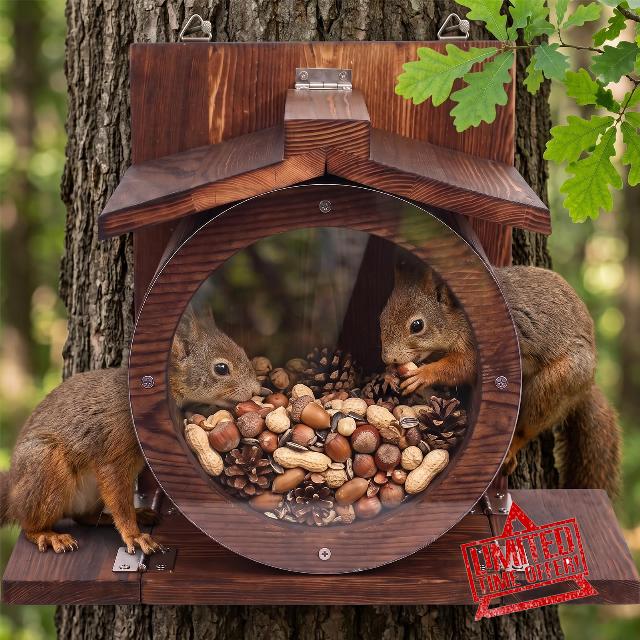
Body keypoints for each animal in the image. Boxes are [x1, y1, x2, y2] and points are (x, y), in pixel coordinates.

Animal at [0, 310, 260, 553]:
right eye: (221, 368)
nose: (256, 389)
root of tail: (12, 489)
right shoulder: (114, 449)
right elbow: (118, 495)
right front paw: (134, 536)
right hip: (45, 467)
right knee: (29, 524)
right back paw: (48, 535)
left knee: (83, 517)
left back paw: (133, 514)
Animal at [380, 260, 621, 498]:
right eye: (381, 316)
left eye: (417, 325)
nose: (388, 358)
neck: (456, 317)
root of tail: (587, 387)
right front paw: (389, 375)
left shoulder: (477, 346)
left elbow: (462, 367)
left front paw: (423, 375)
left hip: (555, 384)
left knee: (529, 426)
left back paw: (512, 448)